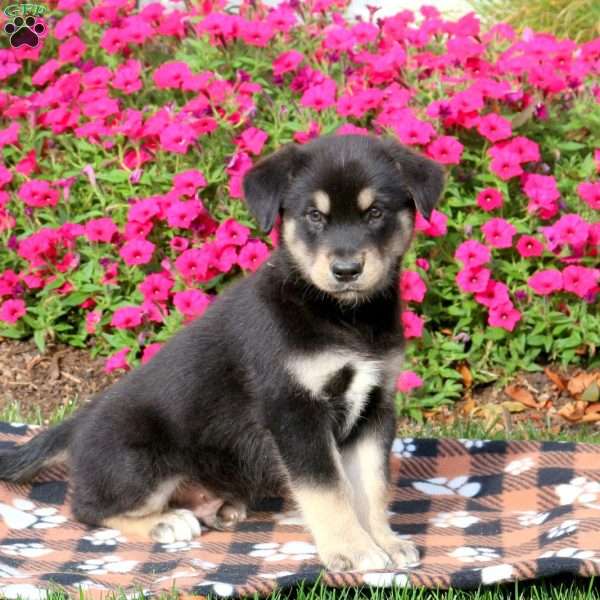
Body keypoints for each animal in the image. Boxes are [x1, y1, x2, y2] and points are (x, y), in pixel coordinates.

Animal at [0, 135, 446, 572]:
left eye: (376, 213)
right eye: (314, 217)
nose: (347, 270)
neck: (341, 316)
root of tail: (79, 422)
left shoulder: (375, 406)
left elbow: (371, 487)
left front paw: (385, 541)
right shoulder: (295, 410)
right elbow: (328, 489)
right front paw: (353, 550)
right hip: (139, 463)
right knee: (86, 508)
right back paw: (166, 522)